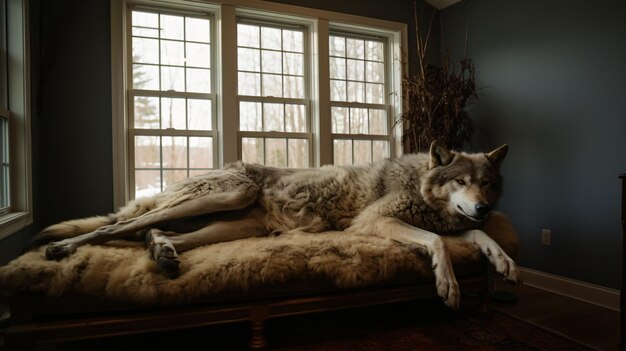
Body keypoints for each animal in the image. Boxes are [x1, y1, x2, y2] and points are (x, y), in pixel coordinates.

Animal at [31, 142, 516, 310]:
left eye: (487, 184)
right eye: (461, 181)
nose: (481, 207)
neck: (420, 184)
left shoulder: (458, 223)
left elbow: (474, 236)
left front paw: (502, 259)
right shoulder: (373, 221)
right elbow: (437, 241)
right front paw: (448, 284)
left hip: (234, 226)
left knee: (156, 234)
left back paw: (163, 255)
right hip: (227, 196)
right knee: (119, 228)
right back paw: (62, 250)